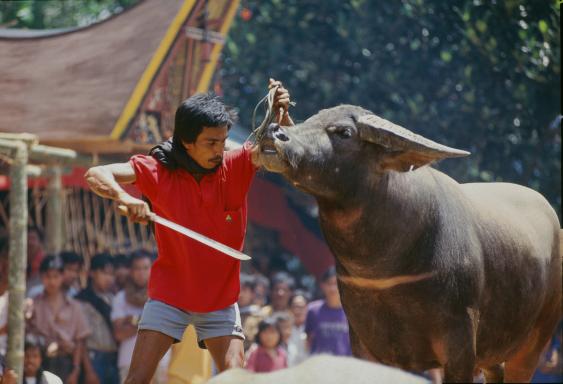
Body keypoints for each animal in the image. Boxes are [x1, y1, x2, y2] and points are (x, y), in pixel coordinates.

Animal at [256, 104, 563, 380]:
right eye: (310, 119)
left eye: (344, 132)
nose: (274, 131)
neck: (385, 269)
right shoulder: (366, 345)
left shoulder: (459, 348)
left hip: (535, 342)